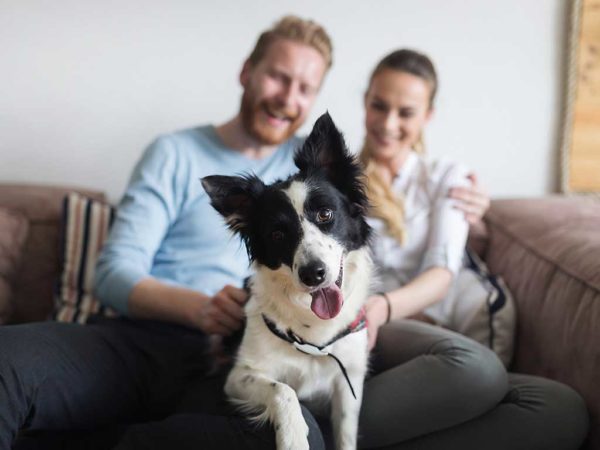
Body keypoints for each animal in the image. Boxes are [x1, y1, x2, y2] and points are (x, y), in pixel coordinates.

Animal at [203, 112, 370, 450]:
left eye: (325, 214)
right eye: (277, 234)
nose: (313, 274)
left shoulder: (349, 382)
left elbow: (346, 434)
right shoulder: (239, 376)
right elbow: (284, 390)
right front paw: (293, 436)